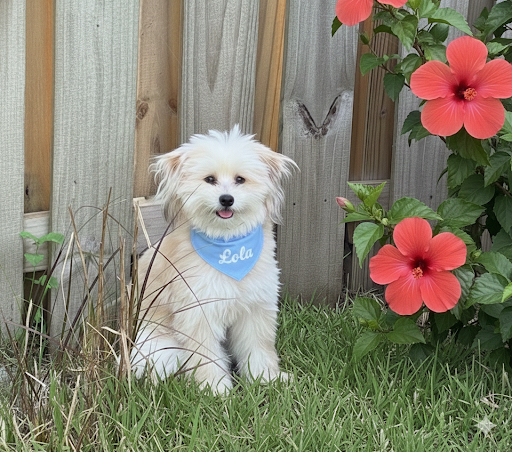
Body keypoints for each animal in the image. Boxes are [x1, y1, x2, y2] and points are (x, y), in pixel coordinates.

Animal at [131, 125, 296, 393]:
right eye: (210, 179)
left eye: (240, 179)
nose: (226, 199)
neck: (228, 246)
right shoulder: (199, 314)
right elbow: (206, 357)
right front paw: (215, 390)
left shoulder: (254, 311)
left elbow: (258, 348)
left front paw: (266, 379)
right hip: (161, 348)